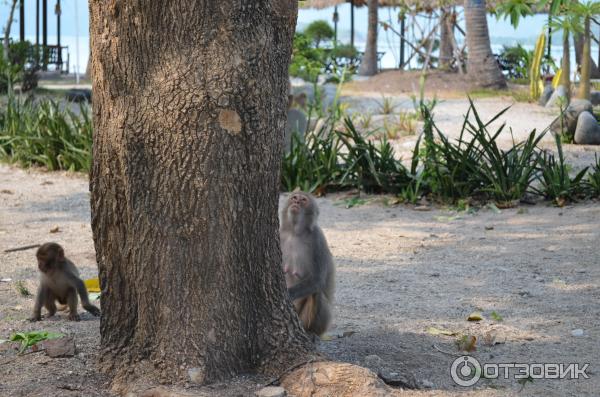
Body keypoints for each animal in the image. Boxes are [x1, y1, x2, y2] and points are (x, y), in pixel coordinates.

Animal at [280, 190, 336, 336]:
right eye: (294, 197)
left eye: (303, 200)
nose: (296, 202)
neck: (294, 232)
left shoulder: (317, 239)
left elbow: (317, 280)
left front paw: (289, 293)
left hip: (321, 323)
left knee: (316, 293)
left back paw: (311, 332)